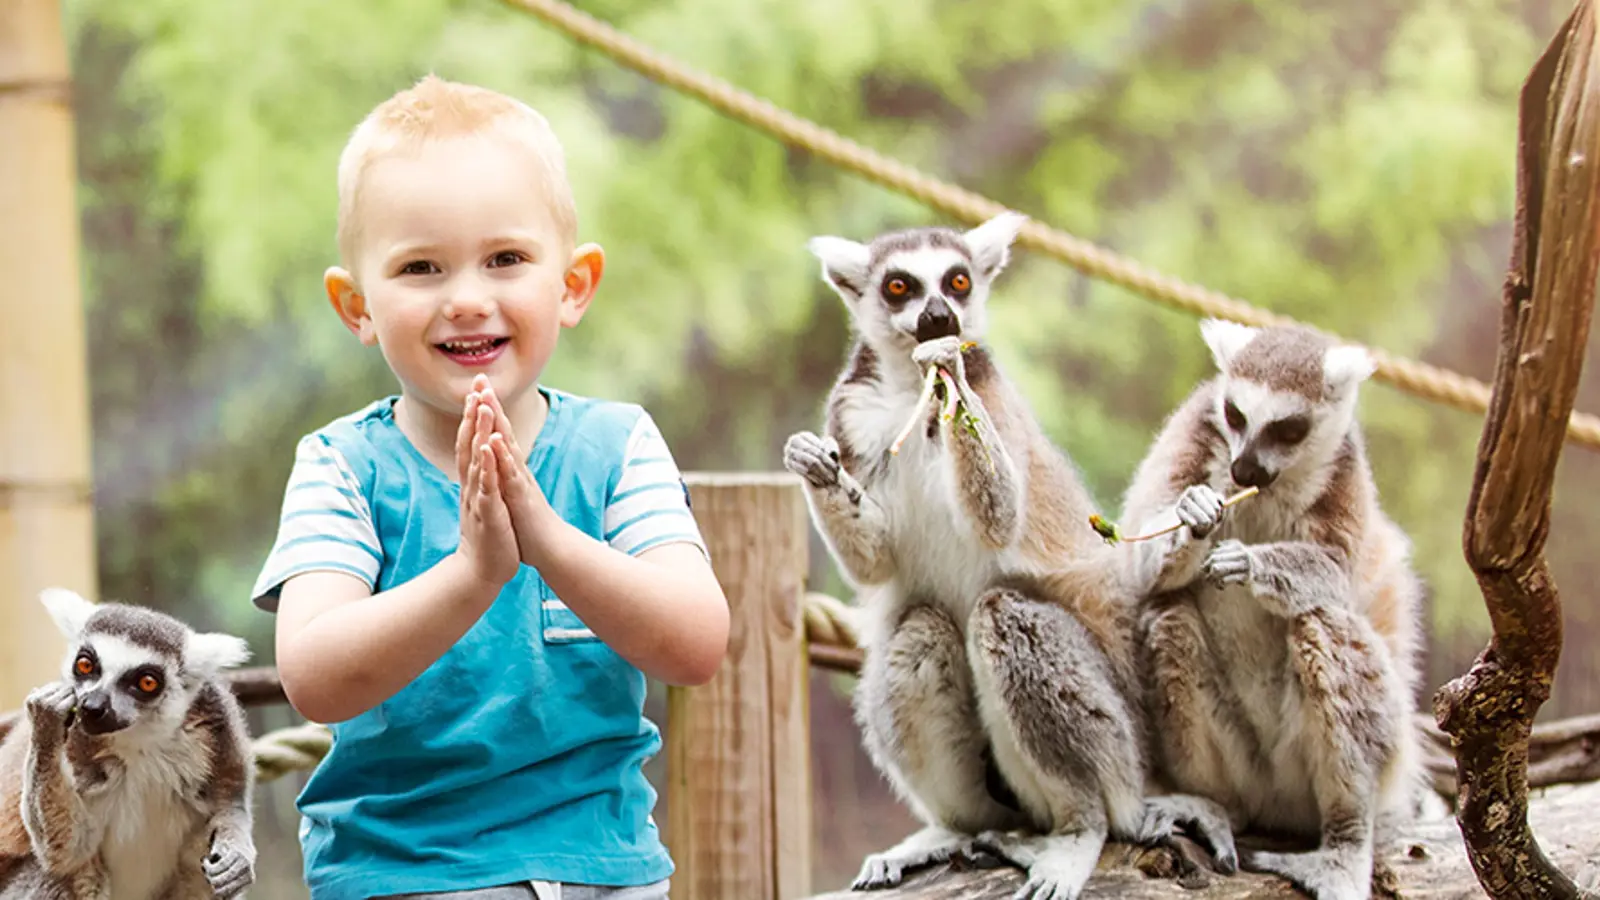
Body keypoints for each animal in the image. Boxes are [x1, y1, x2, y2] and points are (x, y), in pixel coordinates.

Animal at [0, 588, 258, 900]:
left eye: (147, 682)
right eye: (85, 665)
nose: (91, 706)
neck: (139, 741)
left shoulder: (216, 729)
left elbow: (230, 802)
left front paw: (237, 857)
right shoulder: (75, 748)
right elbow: (67, 851)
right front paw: (46, 720)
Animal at [783, 212, 1235, 899]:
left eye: (958, 281)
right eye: (899, 286)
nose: (940, 318)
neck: (911, 391)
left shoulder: (991, 398)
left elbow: (1000, 517)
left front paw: (951, 373)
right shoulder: (853, 416)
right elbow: (876, 563)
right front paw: (814, 466)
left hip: (1121, 740)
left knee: (1008, 618)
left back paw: (1079, 833)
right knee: (920, 631)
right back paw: (951, 830)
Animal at [1117, 319, 1427, 900]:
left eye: (1288, 429)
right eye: (1235, 415)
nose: (1242, 468)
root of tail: (1273, 803)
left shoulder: (1343, 468)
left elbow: (1334, 574)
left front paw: (1250, 564)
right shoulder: (1196, 431)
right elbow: (1137, 560)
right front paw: (1197, 515)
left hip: (1358, 756)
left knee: (1322, 619)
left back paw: (1346, 845)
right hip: (1244, 763)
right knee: (1169, 614)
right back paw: (1213, 806)